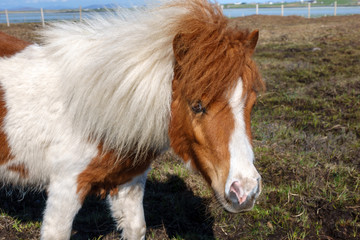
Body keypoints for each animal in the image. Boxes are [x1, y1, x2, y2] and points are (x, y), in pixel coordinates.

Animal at [0, 0, 264, 239]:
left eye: (251, 103)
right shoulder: (66, 186)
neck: (97, 111)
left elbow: (136, 228)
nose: (245, 192)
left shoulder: (129, 181)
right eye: (197, 105)